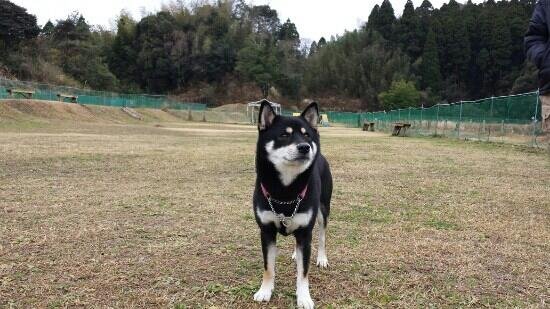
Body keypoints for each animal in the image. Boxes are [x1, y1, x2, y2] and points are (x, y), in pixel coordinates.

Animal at [253, 100, 334, 306]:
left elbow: (303, 272)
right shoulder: (266, 231)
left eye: (306, 135)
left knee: (322, 236)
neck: (285, 190)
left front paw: (304, 297)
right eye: (284, 135)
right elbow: (268, 267)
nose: (305, 147)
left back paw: (321, 258)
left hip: (323, 210)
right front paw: (265, 291)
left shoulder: (305, 232)